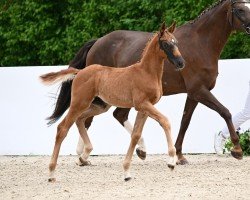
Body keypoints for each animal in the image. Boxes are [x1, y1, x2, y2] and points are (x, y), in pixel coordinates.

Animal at [41, 22, 185, 182]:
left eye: (176, 42)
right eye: (165, 44)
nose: (181, 63)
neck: (146, 73)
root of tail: (80, 72)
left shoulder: (144, 108)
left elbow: (136, 135)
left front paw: (127, 171)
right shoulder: (142, 104)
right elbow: (165, 121)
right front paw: (171, 161)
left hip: (99, 106)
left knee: (80, 120)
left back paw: (84, 154)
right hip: (79, 103)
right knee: (63, 128)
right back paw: (52, 173)